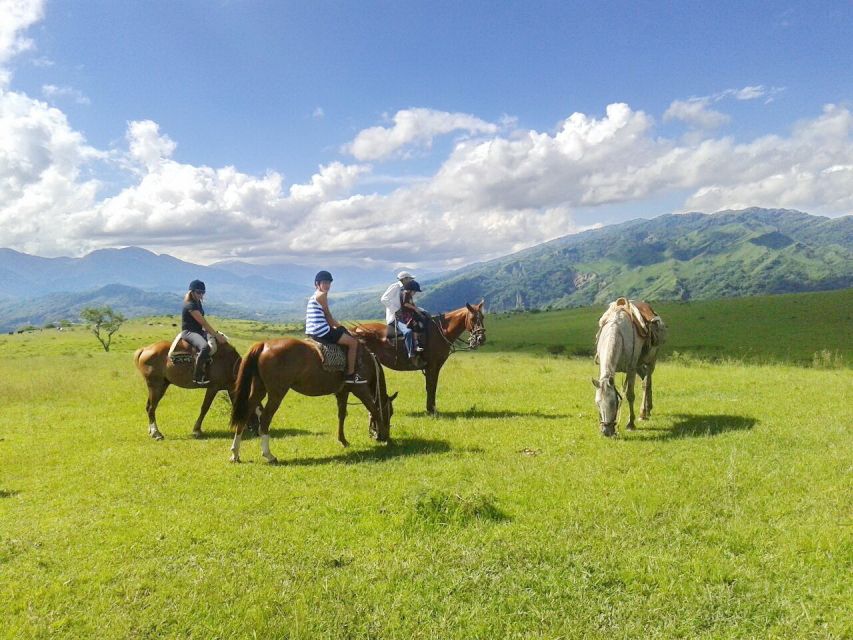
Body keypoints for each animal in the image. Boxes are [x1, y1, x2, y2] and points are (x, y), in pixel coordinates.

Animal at [132, 340, 260, 440]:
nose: (258, 431)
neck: (228, 363)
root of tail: (144, 349)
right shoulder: (213, 388)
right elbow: (205, 408)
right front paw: (197, 430)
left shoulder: (230, 388)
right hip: (156, 386)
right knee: (151, 408)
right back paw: (156, 433)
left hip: (162, 385)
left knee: (149, 407)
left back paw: (151, 431)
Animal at [228, 338, 398, 462]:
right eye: (390, 412)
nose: (380, 435)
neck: (366, 360)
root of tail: (264, 345)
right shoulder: (360, 389)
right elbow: (374, 409)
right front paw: (385, 437)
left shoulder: (343, 392)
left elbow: (342, 415)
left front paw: (343, 440)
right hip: (276, 393)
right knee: (265, 418)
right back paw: (268, 455)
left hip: (259, 389)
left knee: (245, 413)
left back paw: (235, 453)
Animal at [352, 302, 486, 418]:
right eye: (472, 318)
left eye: (483, 317)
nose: (481, 338)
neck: (441, 332)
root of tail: (356, 330)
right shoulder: (432, 366)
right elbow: (431, 386)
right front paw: (431, 410)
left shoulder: (435, 366)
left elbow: (431, 386)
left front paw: (431, 408)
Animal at [592, 298, 664, 438]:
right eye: (597, 403)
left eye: (614, 403)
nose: (606, 432)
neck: (618, 333)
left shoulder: (630, 369)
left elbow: (630, 395)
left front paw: (631, 424)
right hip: (639, 365)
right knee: (645, 379)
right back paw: (648, 409)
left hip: (651, 361)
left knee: (646, 383)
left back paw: (643, 413)